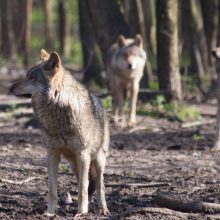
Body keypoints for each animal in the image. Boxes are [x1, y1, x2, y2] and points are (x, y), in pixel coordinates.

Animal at [9, 49, 109, 217]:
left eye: (32, 78)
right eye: (26, 75)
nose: (10, 88)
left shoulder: (82, 154)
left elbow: (82, 190)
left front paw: (81, 213)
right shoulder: (52, 153)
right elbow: (52, 189)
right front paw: (50, 212)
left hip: (96, 159)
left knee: (100, 185)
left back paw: (103, 209)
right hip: (74, 165)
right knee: (89, 183)